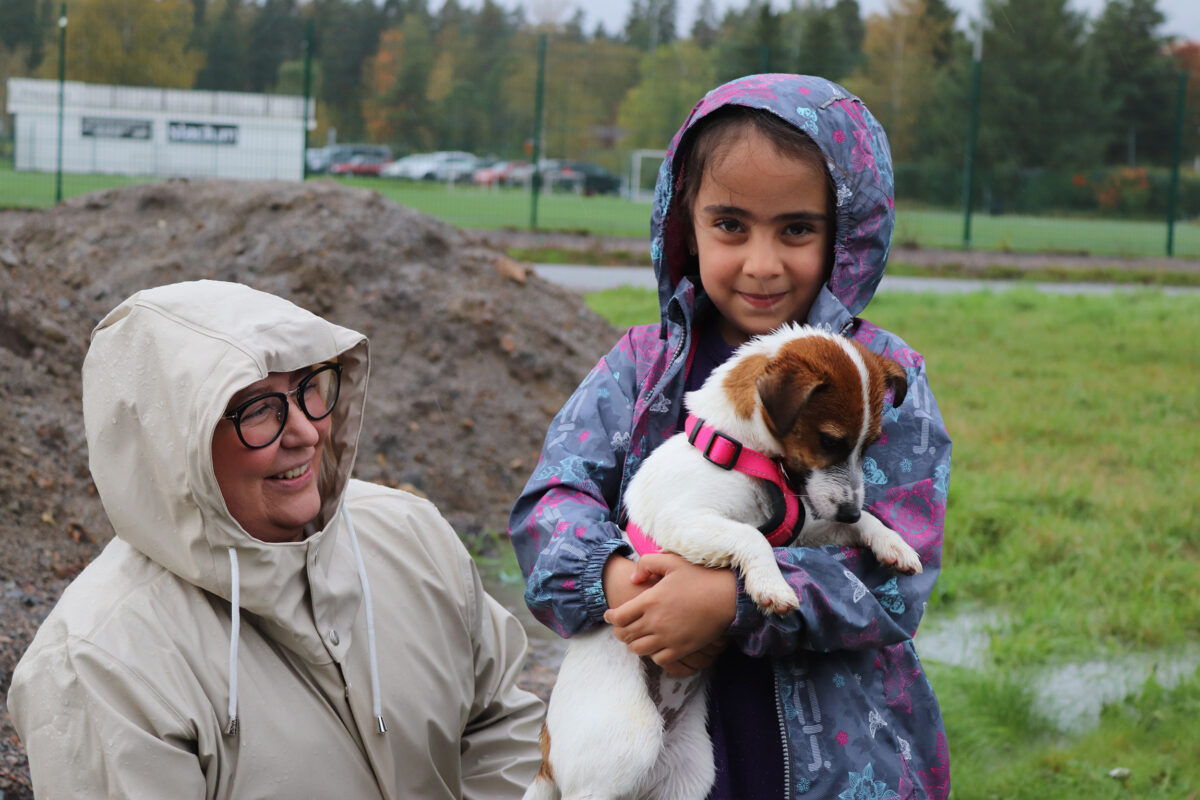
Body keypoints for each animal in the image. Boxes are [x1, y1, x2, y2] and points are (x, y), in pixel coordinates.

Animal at [525, 321, 916, 800]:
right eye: (830, 440)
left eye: (871, 445)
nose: (849, 512)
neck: (740, 451)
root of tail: (546, 759)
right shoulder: (685, 521)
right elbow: (751, 536)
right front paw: (771, 586)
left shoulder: (804, 525)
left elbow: (858, 526)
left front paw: (893, 543)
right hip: (626, 744)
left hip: (688, 776)